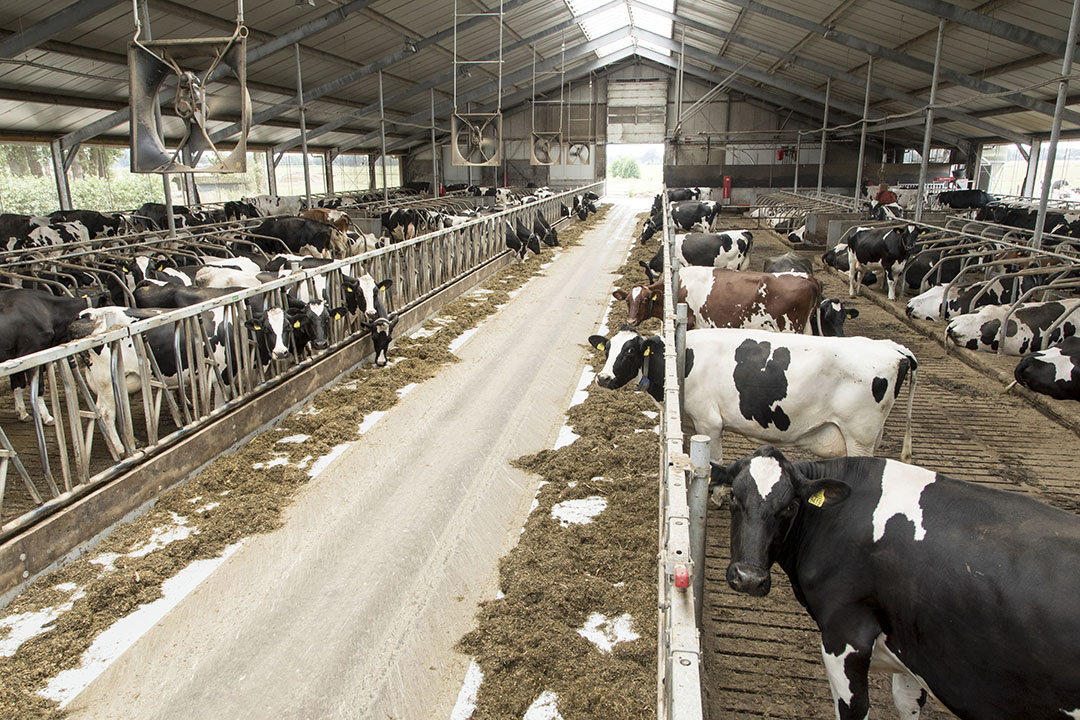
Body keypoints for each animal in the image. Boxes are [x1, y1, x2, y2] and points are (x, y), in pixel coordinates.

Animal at [587, 325, 915, 462]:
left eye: (630, 351)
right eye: (608, 348)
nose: (603, 378)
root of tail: (893, 348)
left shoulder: (710, 423)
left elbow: (715, 462)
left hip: (859, 435)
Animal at [617, 266, 816, 334]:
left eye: (644, 300)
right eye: (627, 301)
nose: (630, 321)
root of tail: (808, 278)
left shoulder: (690, 323)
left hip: (790, 327)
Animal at [708, 444, 1080, 720]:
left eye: (789, 507)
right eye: (734, 498)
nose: (748, 578)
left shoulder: (846, 636)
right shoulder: (914, 641)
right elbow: (906, 701)